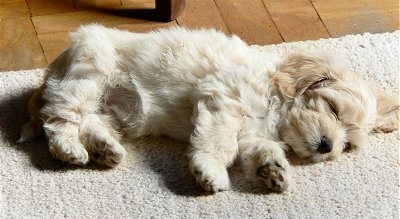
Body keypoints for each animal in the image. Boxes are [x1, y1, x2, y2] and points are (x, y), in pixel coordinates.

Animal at [19, 23, 400, 192]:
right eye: (332, 108)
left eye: (347, 147)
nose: (327, 146)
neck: (277, 106)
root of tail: (53, 68)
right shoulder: (225, 101)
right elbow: (220, 143)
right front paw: (211, 171)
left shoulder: (253, 133)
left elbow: (258, 149)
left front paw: (272, 170)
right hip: (87, 75)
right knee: (60, 118)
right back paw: (70, 148)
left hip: (113, 109)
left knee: (91, 122)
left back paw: (104, 148)